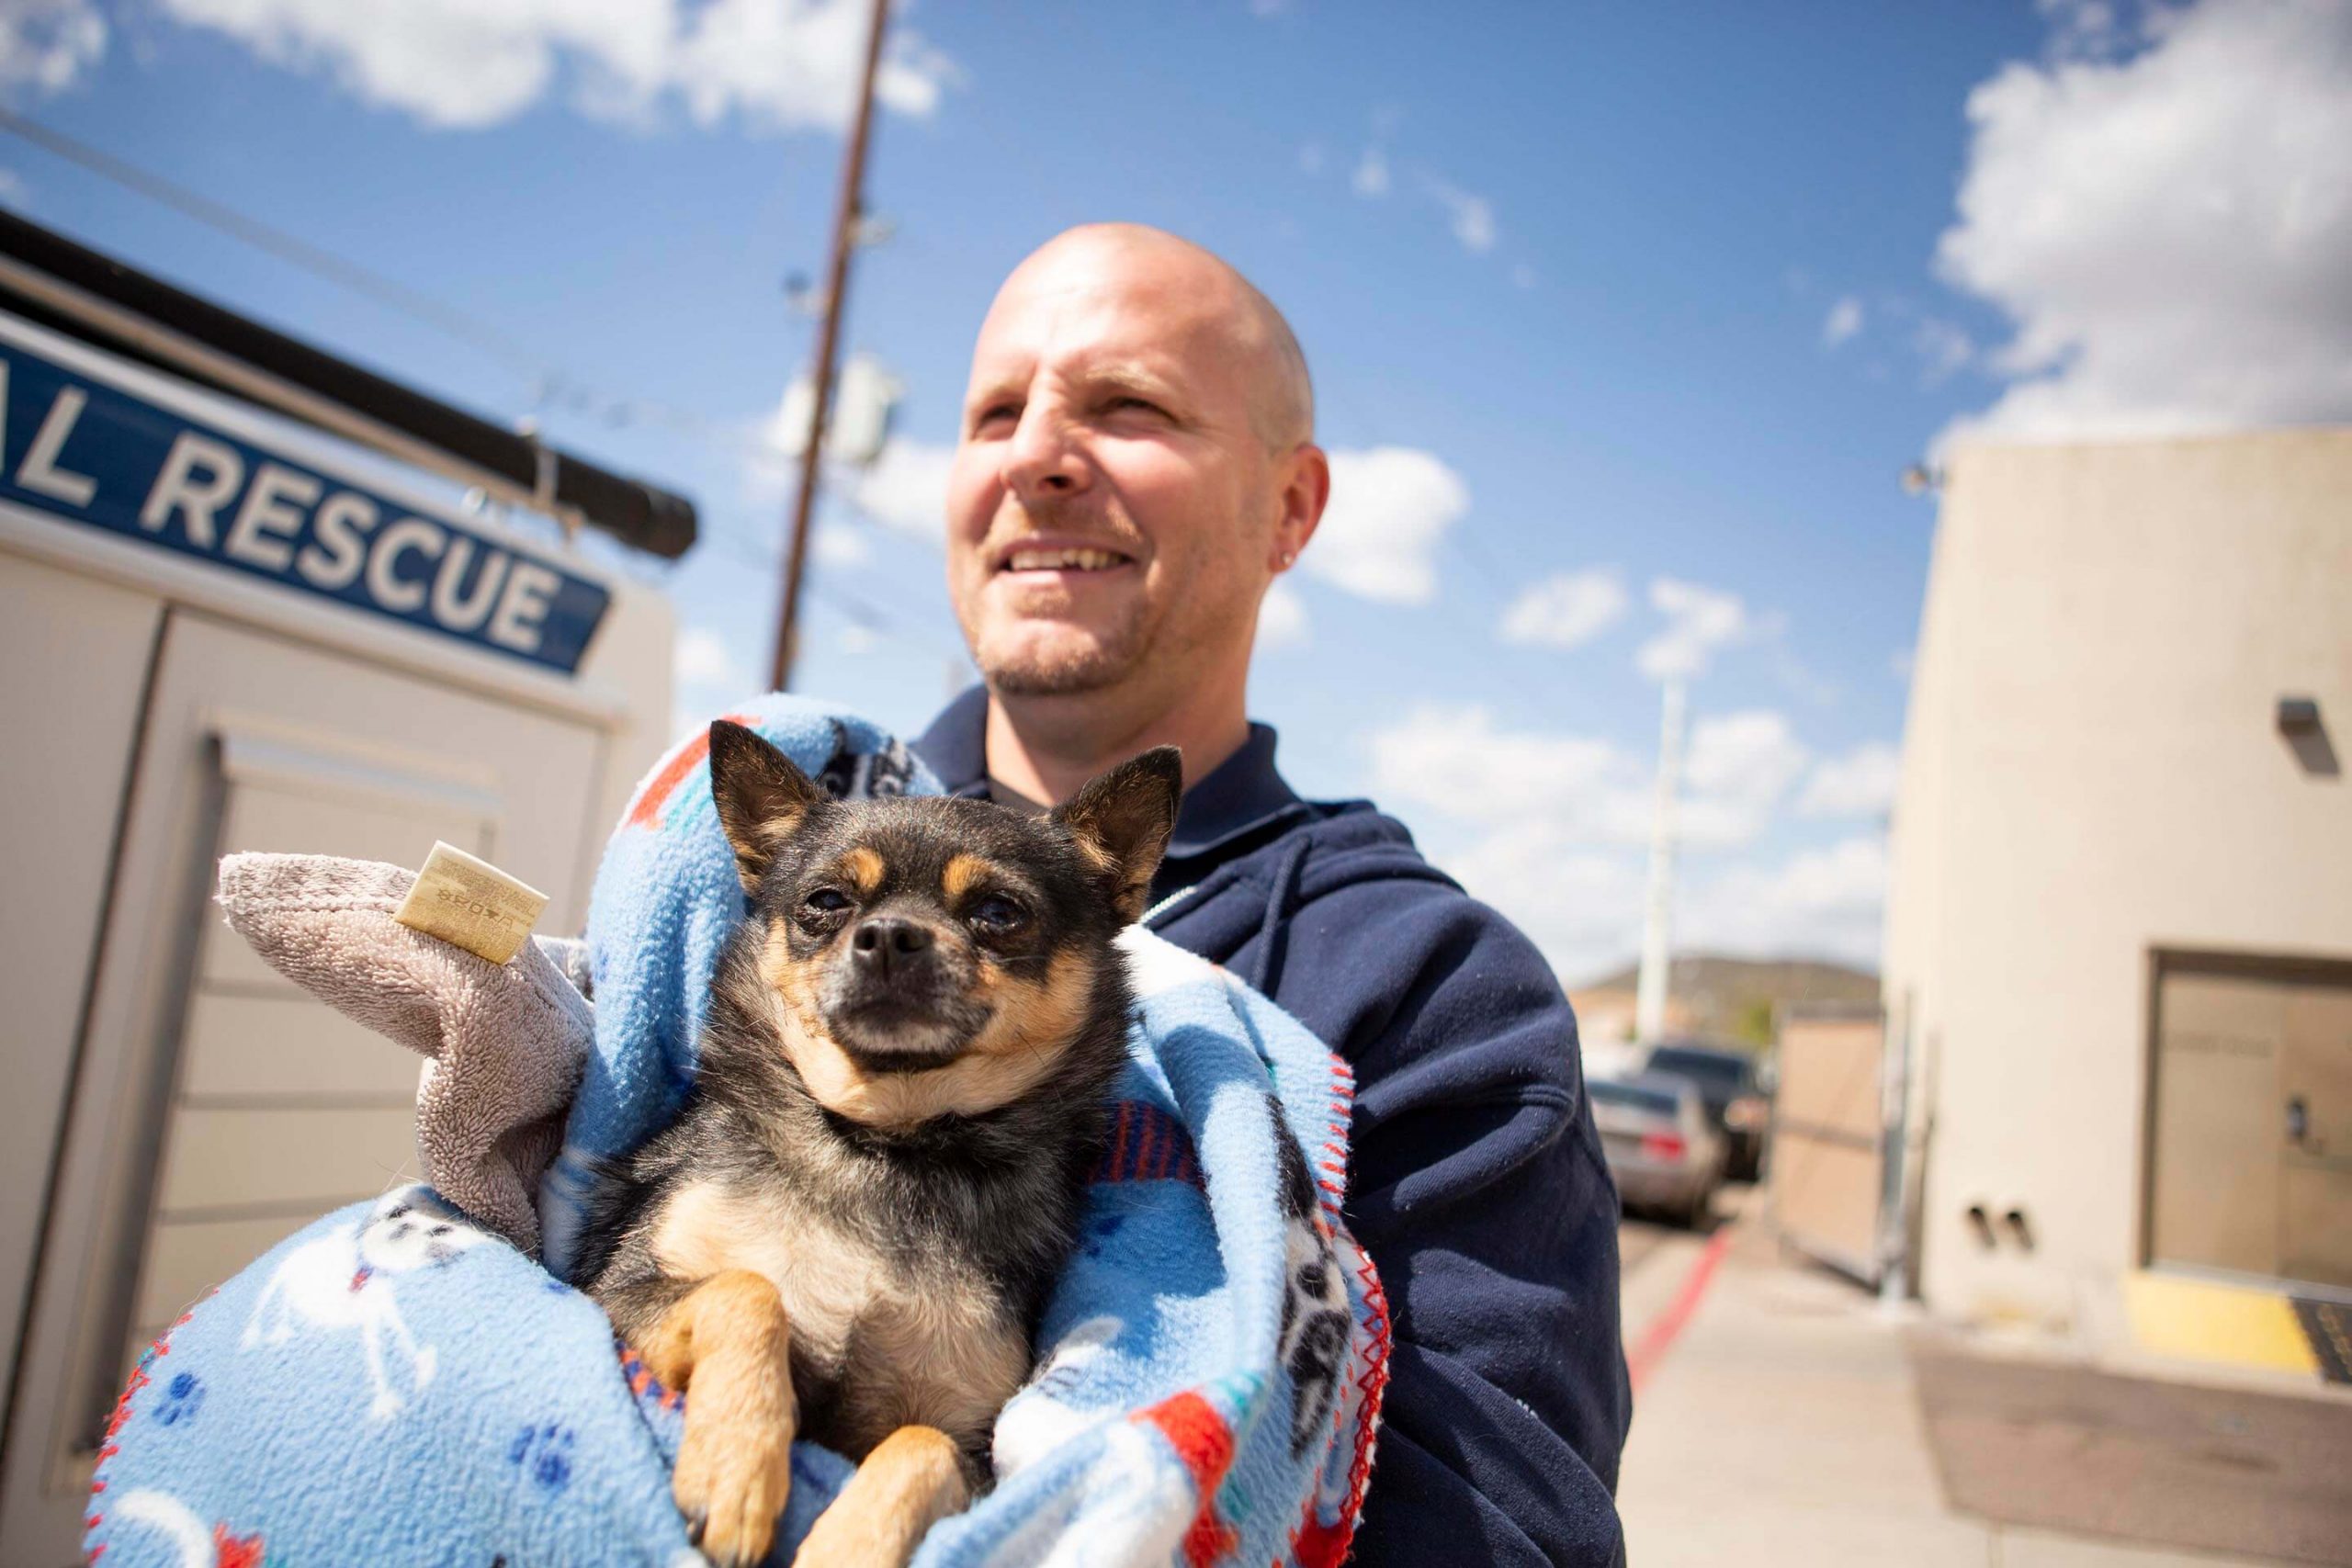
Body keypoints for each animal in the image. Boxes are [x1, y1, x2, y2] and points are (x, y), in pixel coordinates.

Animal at [578, 724, 1185, 1568]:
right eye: (826, 903)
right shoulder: (618, 1288)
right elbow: (746, 1289)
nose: (890, 935)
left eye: (999, 912)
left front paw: (846, 1544)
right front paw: (737, 1467)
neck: (884, 1143)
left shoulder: (971, 1437)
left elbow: (917, 1445)